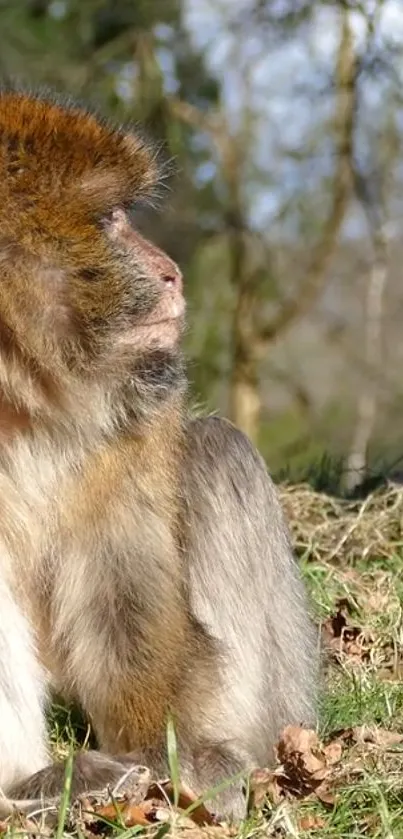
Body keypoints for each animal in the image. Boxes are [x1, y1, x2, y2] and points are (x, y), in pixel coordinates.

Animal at [0, 88, 318, 824]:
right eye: (109, 221)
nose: (170, 271)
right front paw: (37, 785)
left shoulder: (138, 406)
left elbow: (122, 578)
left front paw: (173, 756)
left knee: (219, 451)